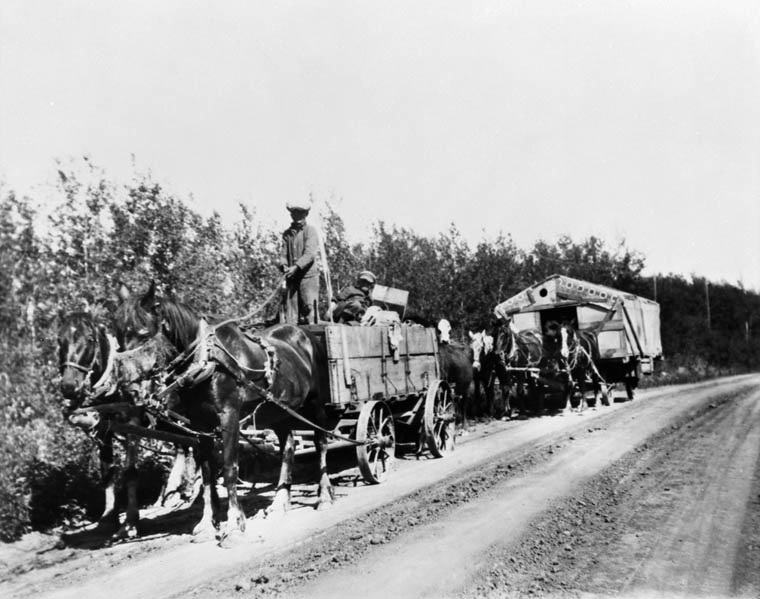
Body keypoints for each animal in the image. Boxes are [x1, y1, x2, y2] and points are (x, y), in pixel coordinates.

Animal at [113, 282, 336, 544]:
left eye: (143, 334)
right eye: (118, 337)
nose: (129, 390)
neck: (208, 359)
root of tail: (305, 334)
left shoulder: (229, 416)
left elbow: (230, 468)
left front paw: (234, 524)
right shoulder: (200, 425)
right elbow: (208, 474)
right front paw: (206, 524)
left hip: (315, 403)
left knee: (321, 442)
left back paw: (324, 495)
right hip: (276, 410)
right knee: (288, 447)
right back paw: (280, 502)